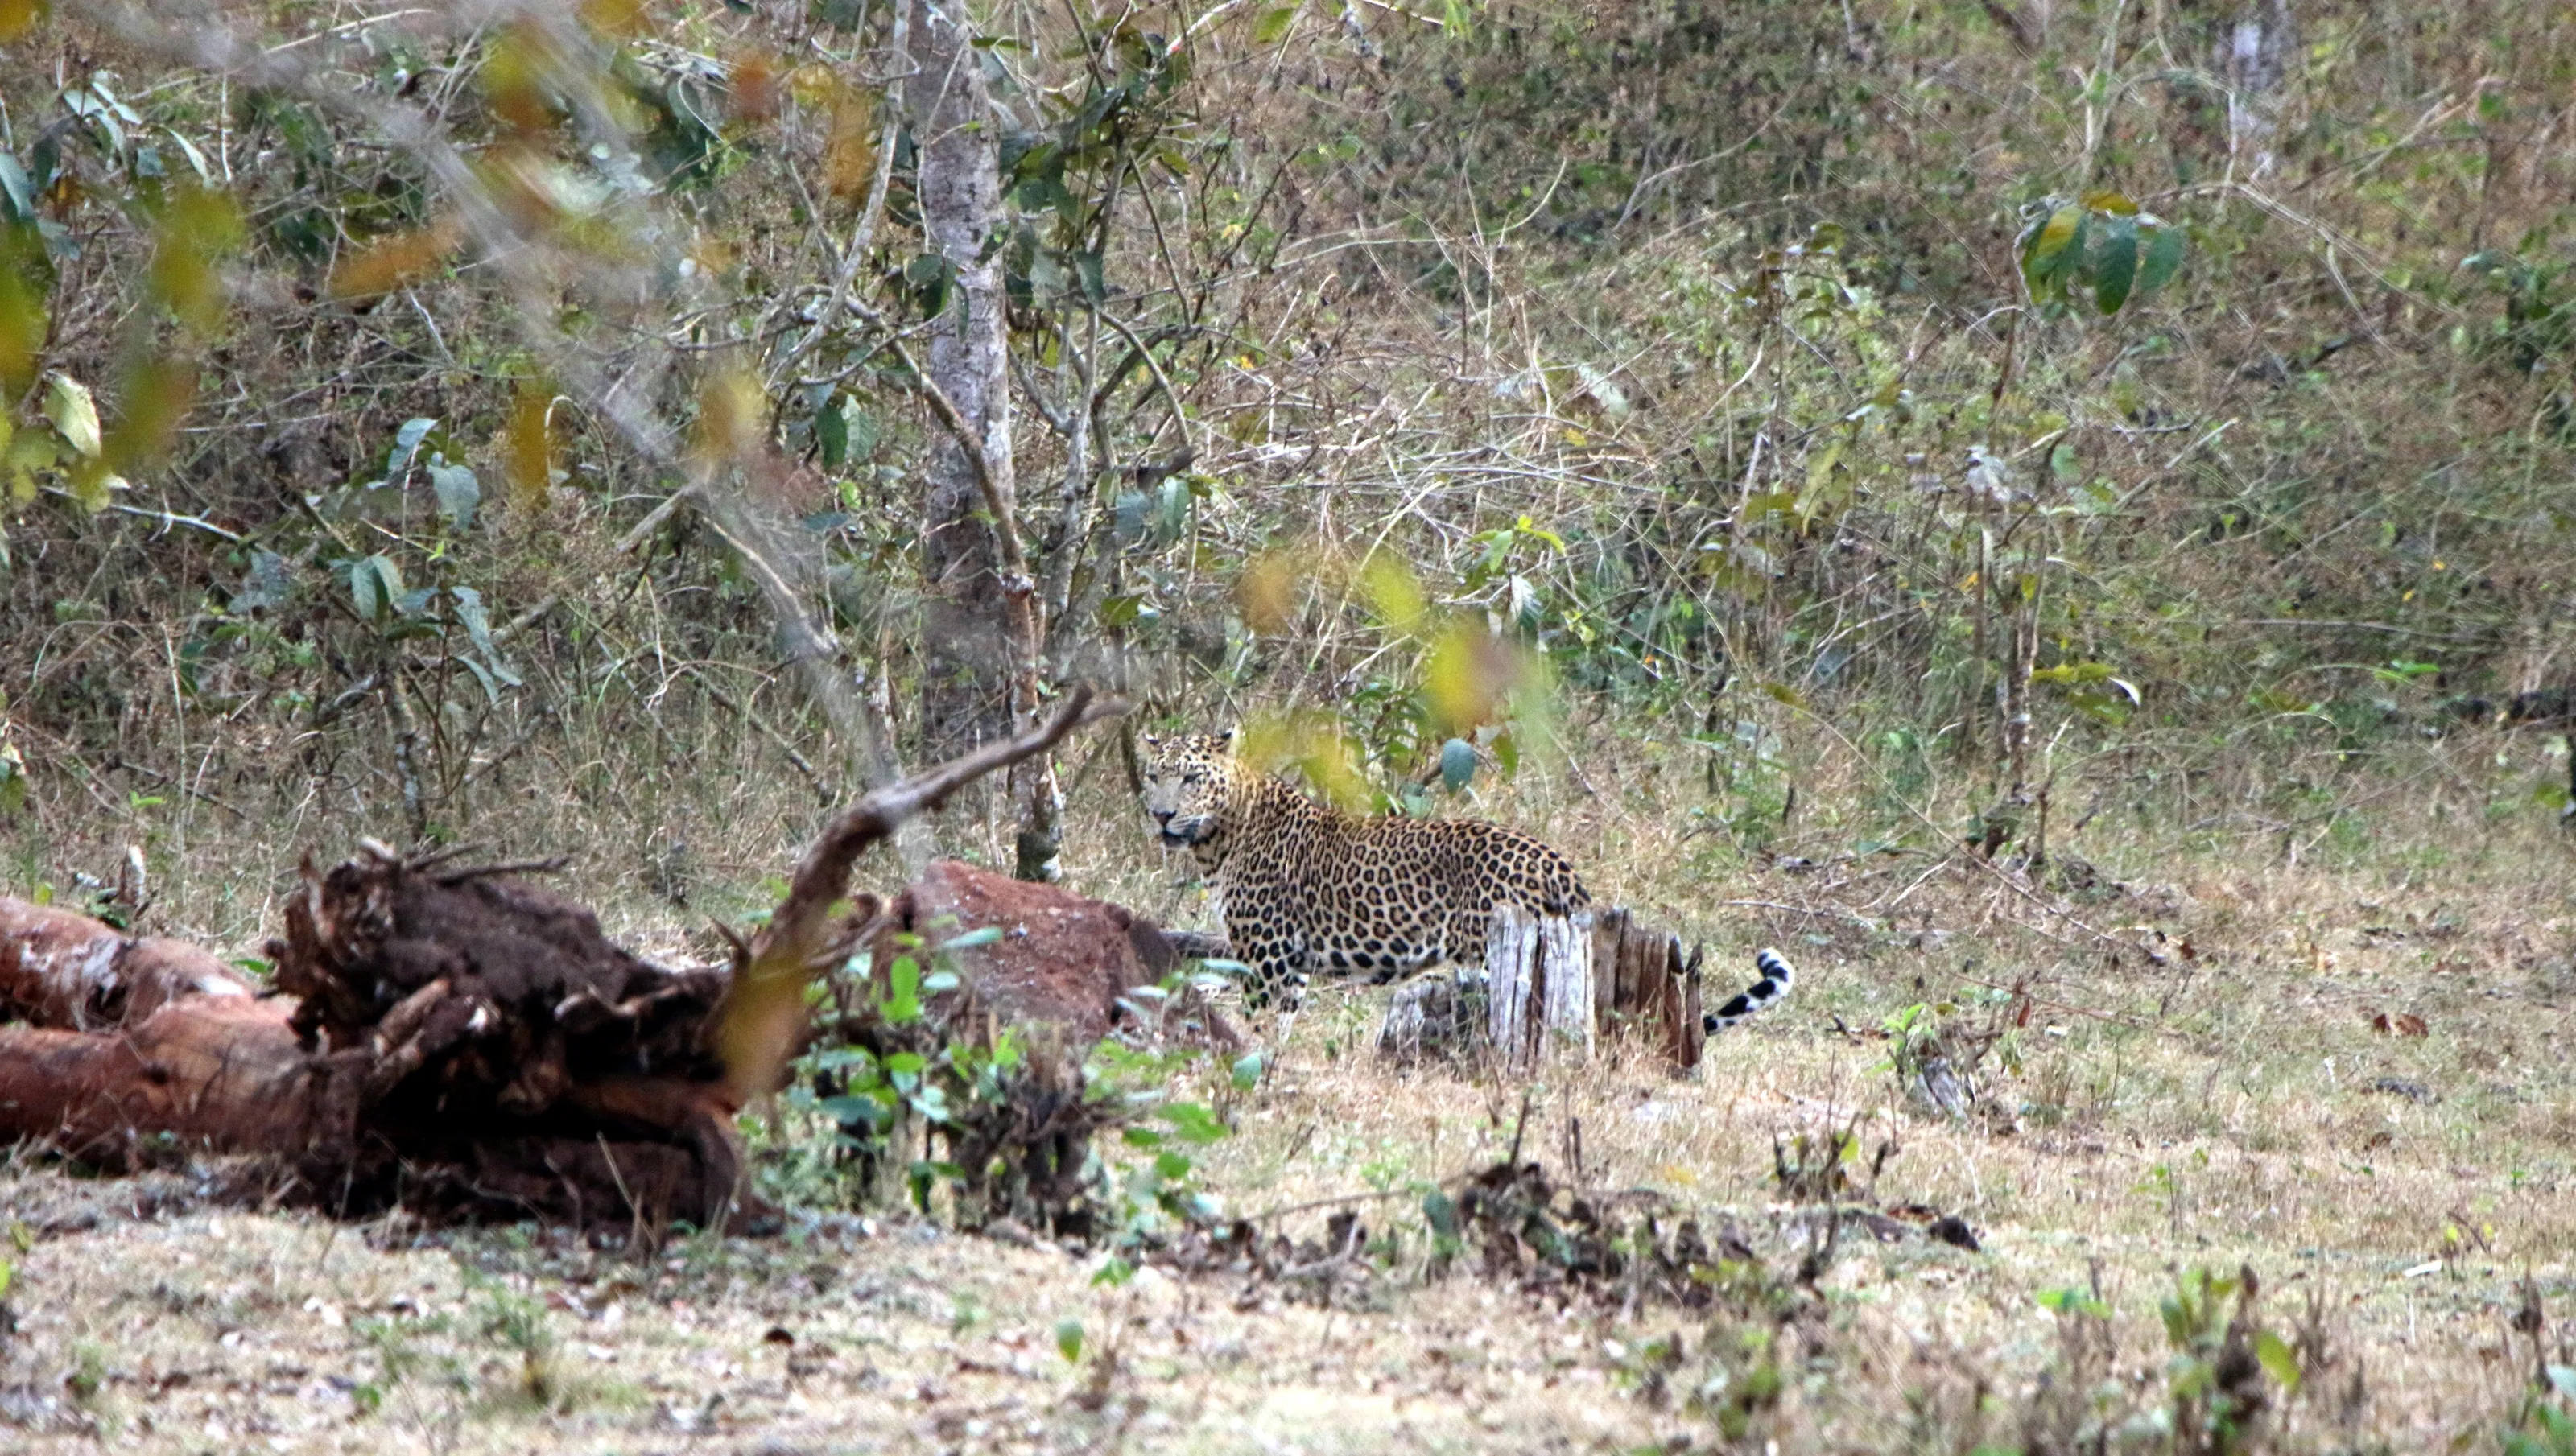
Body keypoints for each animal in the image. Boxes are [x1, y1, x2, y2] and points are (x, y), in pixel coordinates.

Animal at [1139, 729, 1795, 1030]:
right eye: (1152, 775)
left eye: (1191, 778)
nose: (1162, 814)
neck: (1219, 837)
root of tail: (1558, 862)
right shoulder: (1290, 964)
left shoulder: (1267, 957)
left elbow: (1259, 1027)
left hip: (1491, 957)